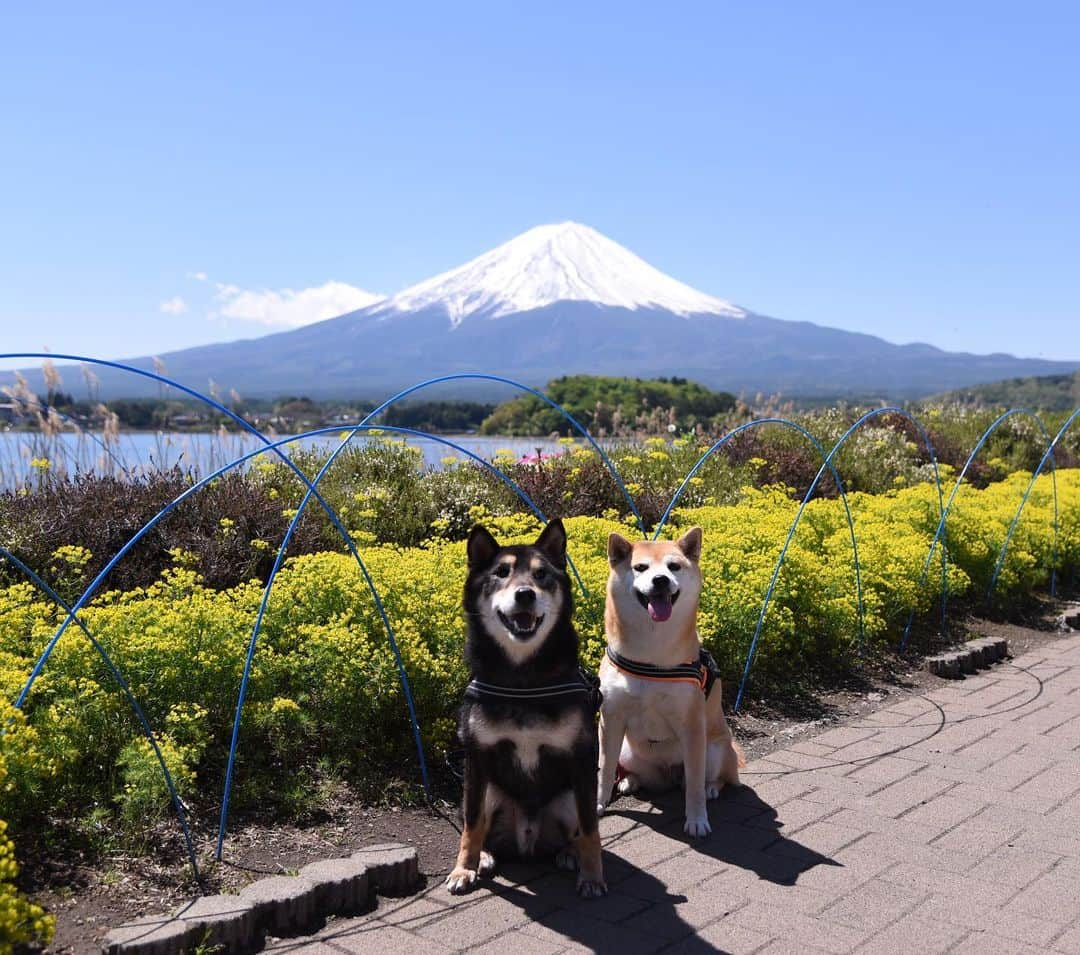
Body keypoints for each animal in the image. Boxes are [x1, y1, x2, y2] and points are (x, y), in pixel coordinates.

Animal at [442, 518, 604, 898]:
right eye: (501, 572)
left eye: (542, 574)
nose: (525, 593)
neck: (523, 681)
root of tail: (528, 840)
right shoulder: (477, 756)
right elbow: (471, 823)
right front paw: (463, 868)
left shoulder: (583, 757)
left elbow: (591, 827)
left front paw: (592, 876)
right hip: (488, 788)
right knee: (480, 822)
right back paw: (485, 856)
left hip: (568, 794)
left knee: (577, 826)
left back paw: (570, 852)